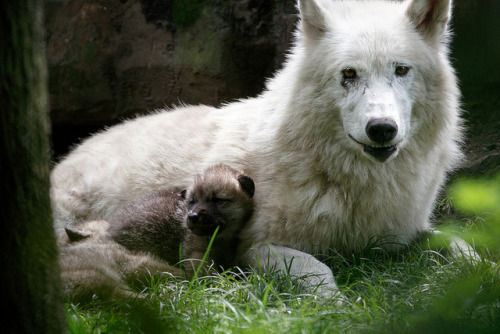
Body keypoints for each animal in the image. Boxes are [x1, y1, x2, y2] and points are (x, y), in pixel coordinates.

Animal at [50, 0, 460, 296]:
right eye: (349, 74)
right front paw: (337, 307)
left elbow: (458, 244)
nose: (382, 129)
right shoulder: (254, 249)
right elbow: (321, 271)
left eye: (401, 70)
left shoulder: (402, 234)